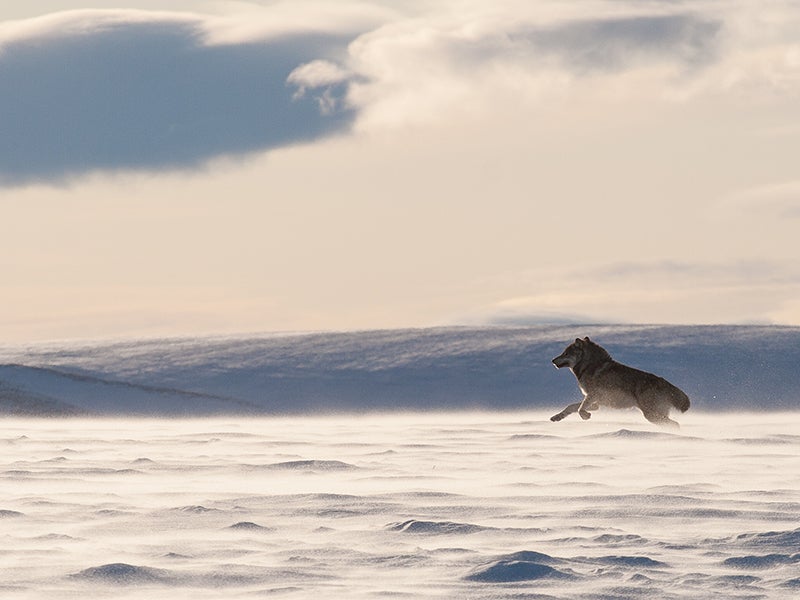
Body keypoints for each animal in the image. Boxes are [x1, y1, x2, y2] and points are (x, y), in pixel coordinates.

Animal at [552, 338, 688, 426]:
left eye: (565, 353)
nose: (552, 360)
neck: (589, 366)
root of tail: (663, 381)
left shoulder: (593, 396)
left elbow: (580, 409)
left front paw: (585, 416)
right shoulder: (595, 403)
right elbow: (571, 407)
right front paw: (557, 417)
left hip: (651, 415)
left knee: (675, 424)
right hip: (654, 416)